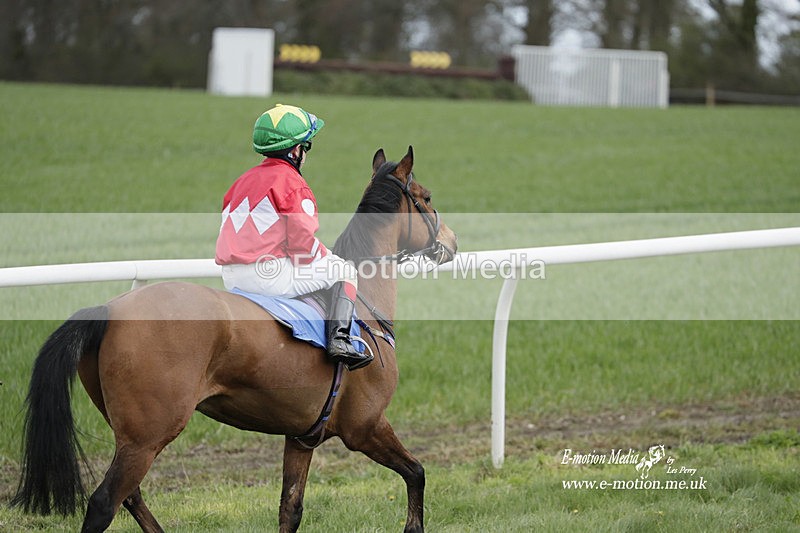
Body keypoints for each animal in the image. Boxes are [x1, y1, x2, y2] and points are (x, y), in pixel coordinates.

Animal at [12, 146, 458, 533]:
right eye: (427, 197)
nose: (451, 242)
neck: (365, 309)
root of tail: (108, 310)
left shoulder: (301, 438)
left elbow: (290, 510)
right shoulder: (365, 427)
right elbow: (417, 472)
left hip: (129, 433)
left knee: (131, 497)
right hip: (147, 436)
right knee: (105, 502)